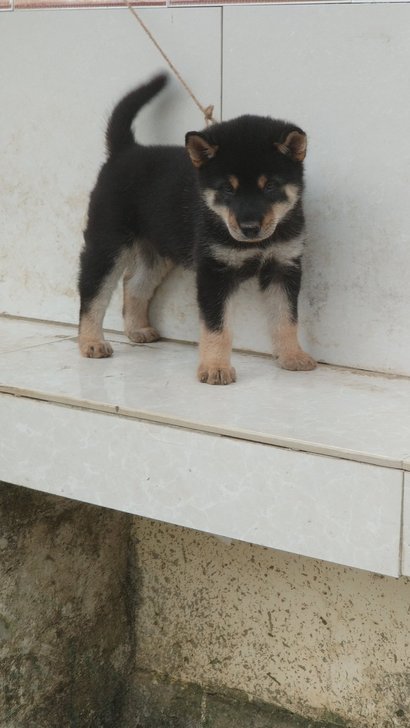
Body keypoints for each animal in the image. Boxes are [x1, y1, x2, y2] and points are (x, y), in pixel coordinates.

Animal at [79, 74, 318, 384]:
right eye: (228, 188)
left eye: (270, 186)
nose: (249, 228)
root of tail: (127, 150)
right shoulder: (213, 271)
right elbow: (217, 326)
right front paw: (215, 367)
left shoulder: (283, 266)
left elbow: (286, 318)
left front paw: (292, 356)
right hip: (107, 243)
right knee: (92, 292)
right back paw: (91, 342)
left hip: (157, 251)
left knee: (134, 284)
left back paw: (137, 329)